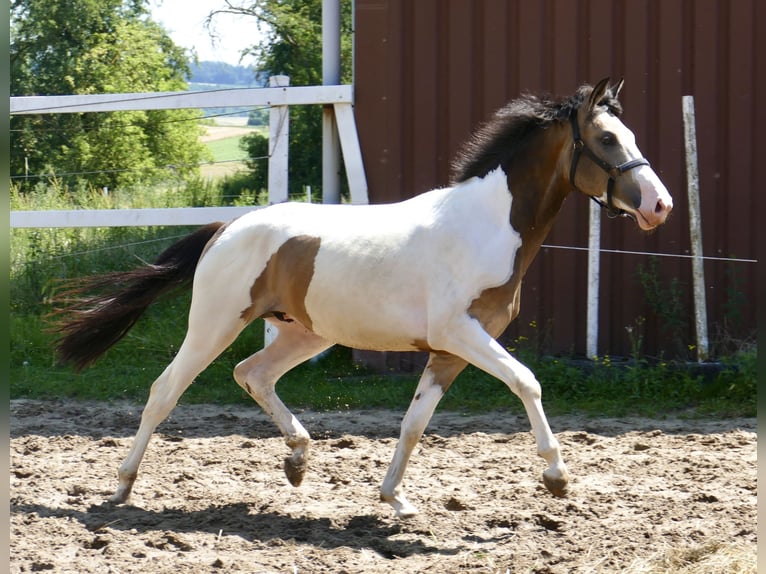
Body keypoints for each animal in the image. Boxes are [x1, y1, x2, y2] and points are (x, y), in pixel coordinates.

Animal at [52, 78, 672, 518]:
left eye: (632, 137)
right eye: (608, 139)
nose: (659, 205)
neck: (487, 225)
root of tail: (228, 227)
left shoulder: (448, 351)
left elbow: (415, 423)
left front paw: (394, 498)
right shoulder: (460, 333)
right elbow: (528, 382)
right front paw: (557, 478)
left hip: (303, 333)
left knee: (252, 373)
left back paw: (298, 459)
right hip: (215, 322)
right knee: (165, 391)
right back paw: (122, 487)